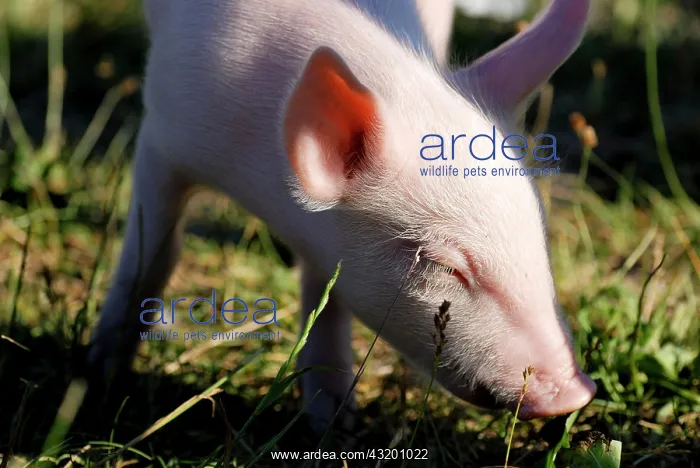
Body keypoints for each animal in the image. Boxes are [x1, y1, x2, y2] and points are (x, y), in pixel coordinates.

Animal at [88, 0, 596, 432]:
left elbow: (326, 295)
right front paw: (100, 377)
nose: (576, 392)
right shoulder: (163, 133)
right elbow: (152, 254)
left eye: (540, 238)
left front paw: (336, 421)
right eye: (442, 264)